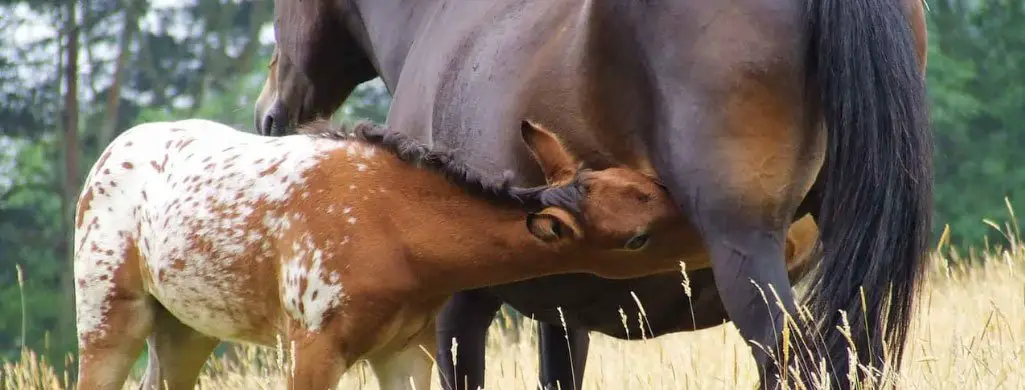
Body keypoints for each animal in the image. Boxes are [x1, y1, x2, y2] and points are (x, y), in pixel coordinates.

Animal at [74, 119, 697, 390]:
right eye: (637, 238)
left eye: (644, 179)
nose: (701, 228)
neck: (393, 229)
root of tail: (107, 155)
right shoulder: (312, 345)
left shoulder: (405, 349)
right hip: (108, 319)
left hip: (186, 328)